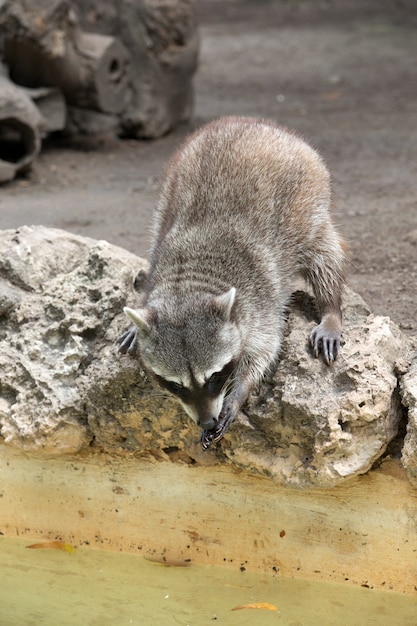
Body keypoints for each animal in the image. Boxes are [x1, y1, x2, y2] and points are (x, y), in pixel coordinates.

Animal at [118, 116, 346, 448]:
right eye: (176, 385)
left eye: (214, 377)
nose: (207, 421)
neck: (187, 287)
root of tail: (250, 122)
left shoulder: (260, 297)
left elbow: (264, 349)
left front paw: (238, 392)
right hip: (168, 192)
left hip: (309, 198)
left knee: (325, 256)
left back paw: (331, 308)